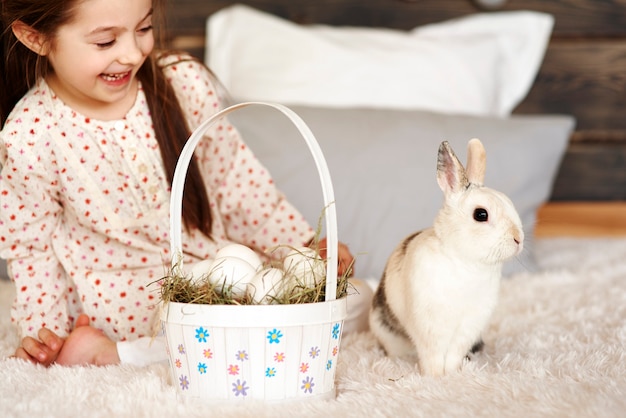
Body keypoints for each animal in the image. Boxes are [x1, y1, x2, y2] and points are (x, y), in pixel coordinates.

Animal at [370, 139, 520, 378]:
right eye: (481, 214)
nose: (518, 239)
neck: (465, 263)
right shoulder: (430, 328)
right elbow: (433, 356)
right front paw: (435, 377)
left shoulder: (467, 328)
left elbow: (453, 356)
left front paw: (451, 374)